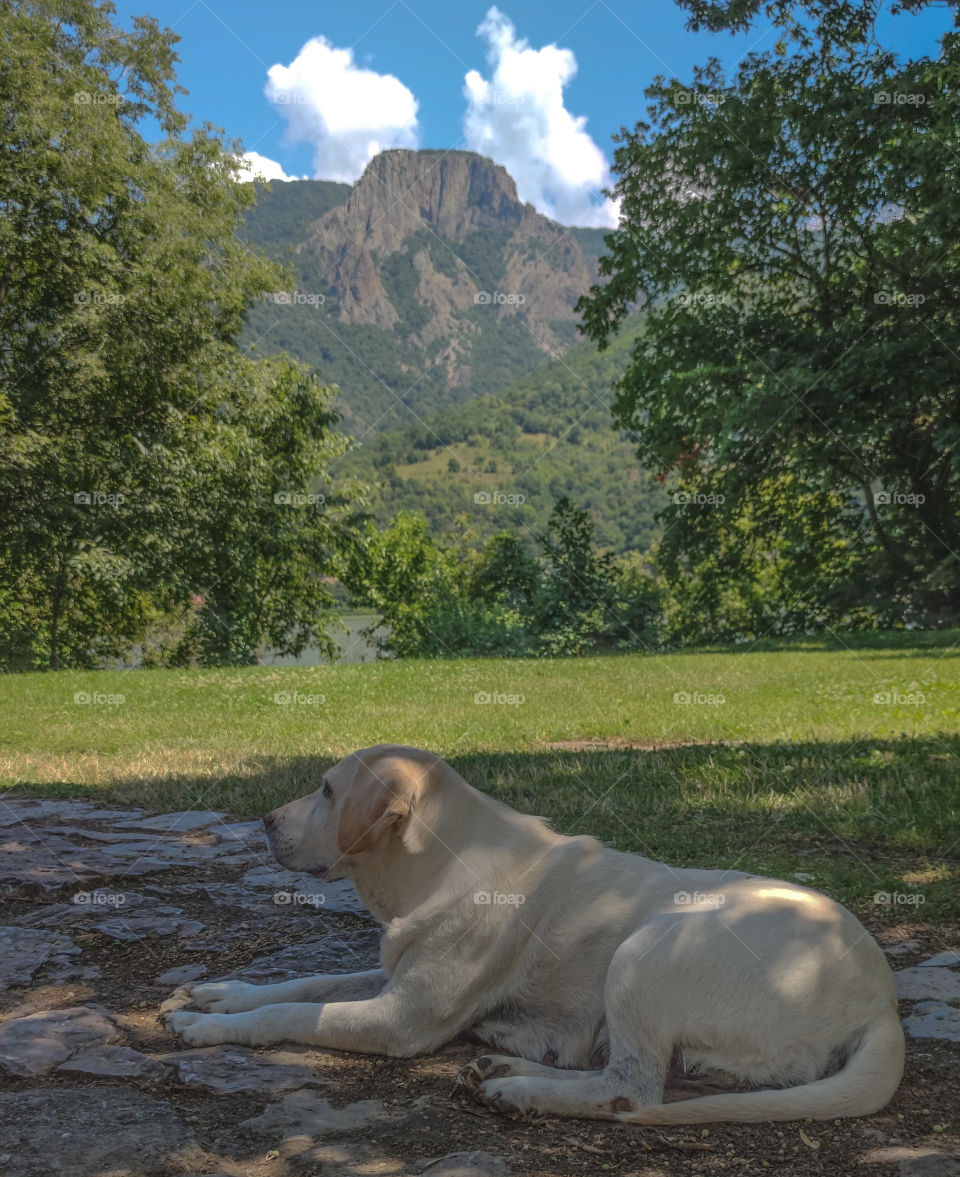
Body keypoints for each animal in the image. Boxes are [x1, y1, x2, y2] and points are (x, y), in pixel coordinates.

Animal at [168, 743, 903, 1120]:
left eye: (326, 790)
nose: (264, 820)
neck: (439, 864)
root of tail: (883, 1003)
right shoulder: (391, 975)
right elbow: (305, 982)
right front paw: (224, 994)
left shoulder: (401, 1017)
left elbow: (293, 1012)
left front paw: (209, 1029)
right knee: (611, 1068)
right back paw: (504, 1061)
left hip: (646, 950)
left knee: (629, 1089)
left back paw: (518, 1089)